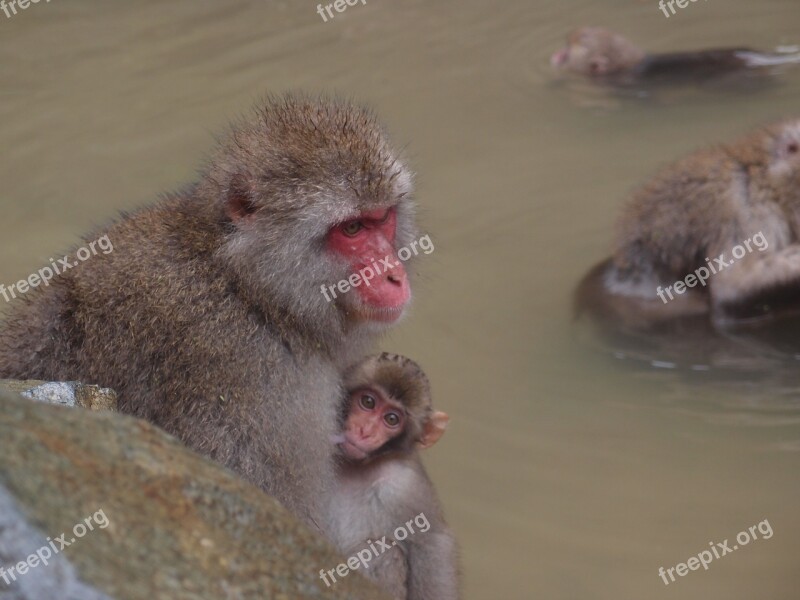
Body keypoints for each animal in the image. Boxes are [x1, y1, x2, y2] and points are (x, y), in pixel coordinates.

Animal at [324, 354, 460, 600]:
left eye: (391, 419)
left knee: (379, 552)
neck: (359, 466)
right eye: (368, 402)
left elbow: (434, 545)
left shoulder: (405, 487)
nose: (365, 431)